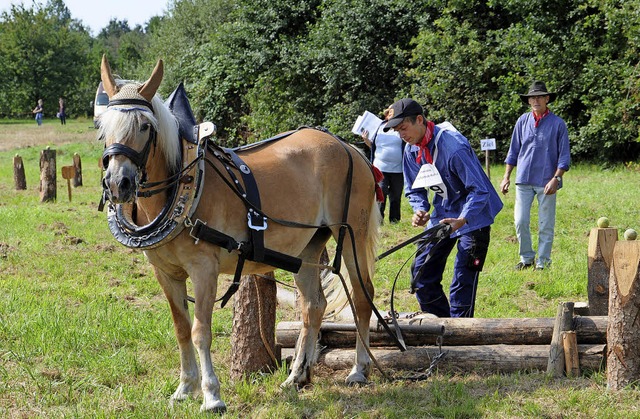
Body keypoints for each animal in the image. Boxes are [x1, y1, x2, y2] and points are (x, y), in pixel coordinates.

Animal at [97, 55, 382, 414]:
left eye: (145, 126)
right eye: (102, 127)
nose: (117, 184)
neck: (182, 190)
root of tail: (349, 148)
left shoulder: (204, 270)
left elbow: (200, 331)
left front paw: (211, 395)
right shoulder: (165, 273)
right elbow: (181, 329)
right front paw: (184, 388)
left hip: (353, 236)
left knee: (362, 296)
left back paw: (359, 369)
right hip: (306, 248)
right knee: (313, 306)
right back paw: (297, 377)